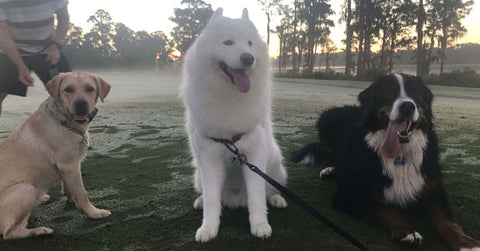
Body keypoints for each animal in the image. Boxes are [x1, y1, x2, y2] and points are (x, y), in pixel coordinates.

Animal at [0, 71, 111, 239]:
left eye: (90, 89)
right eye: (68, 89)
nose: (81, 104)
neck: (63, 120)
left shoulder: (70, 166)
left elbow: (70, 187)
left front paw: (72, 199)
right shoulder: (69, 166)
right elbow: (82, 193)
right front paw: (93, 212)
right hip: (25, 188)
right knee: (10, 233)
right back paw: (40, 230)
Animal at [179, 8, 284, 243]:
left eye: (250, 44)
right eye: (227, 42)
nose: (248, 58)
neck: (231, 95)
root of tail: (236, 197)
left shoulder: (254, 154)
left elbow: (257, 197)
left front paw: (260, 225)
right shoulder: (209, 159)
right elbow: (212, 200)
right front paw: (208, 228)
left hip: (275, 163)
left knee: (269, 189)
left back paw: (277, 199)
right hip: (198, 173)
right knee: (208, 194)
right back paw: (200, 201)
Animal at [292, 73, 480, 250]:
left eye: (416, 94)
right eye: (389, 93)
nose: (407, 106)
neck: (400, 153)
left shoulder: (433, 192)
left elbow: (447, 221)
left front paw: (467, 243)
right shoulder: (349, 195)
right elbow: (386, 209)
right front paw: (407, 231)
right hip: (326, 118)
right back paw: (331, 170)